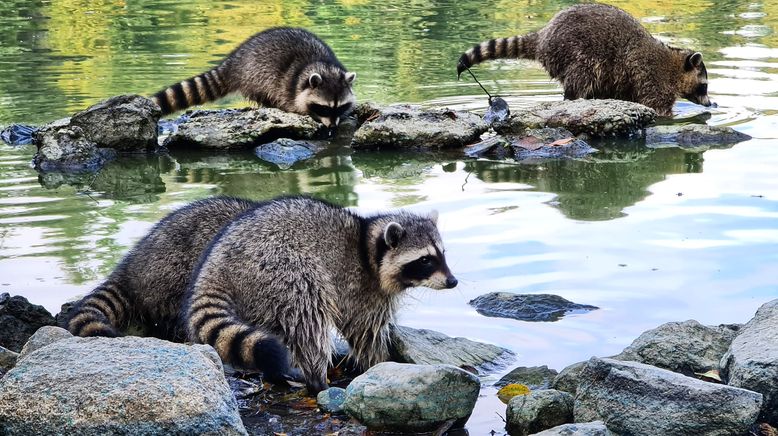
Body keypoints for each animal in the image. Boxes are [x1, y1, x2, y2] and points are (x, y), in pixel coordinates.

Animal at [151, 27, 354, 127]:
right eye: (324, 108)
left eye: (340, 107)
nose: (333, 127)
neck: (323, 66)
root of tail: (234, 61)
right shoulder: (289, 87)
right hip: (256, 74)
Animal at [186, 196, 454, 394]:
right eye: (425, 260)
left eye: (442, 254)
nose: (453, 281)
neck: (367, 247)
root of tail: (216, 263)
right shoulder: (360, 289)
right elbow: (365, 333)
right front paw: (380, 363)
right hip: (278, 266)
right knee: (308, 314)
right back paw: (317, 380)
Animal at [454, 3, 716, 116]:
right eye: (703, 86)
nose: (710, 103)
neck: (674, 66)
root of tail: (544, 34)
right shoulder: (652, 79)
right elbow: (657, 107)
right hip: (574, 53)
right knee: (583, 77)